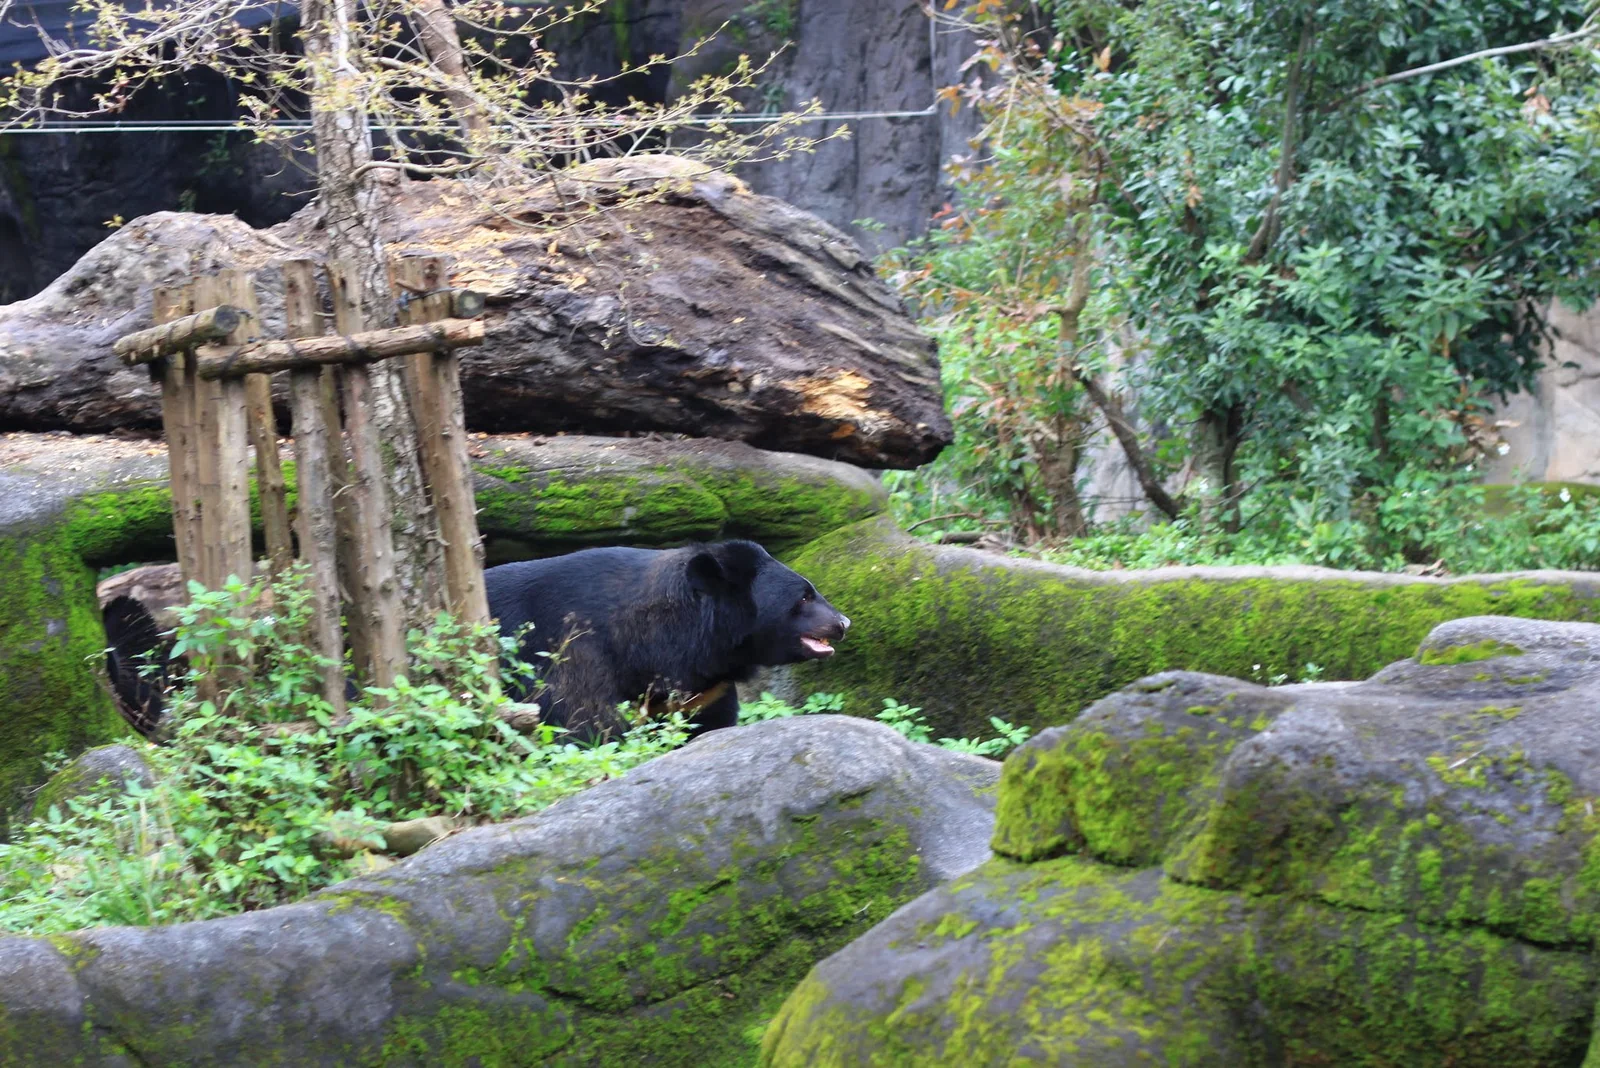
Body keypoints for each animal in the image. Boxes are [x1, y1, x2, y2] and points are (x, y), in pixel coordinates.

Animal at [484, 539, 850, 741]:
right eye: (804, 597)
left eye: (810, 590)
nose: (843, 623)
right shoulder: (571, 651)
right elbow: (581, 723)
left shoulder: (705, 688)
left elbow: (710, 722)